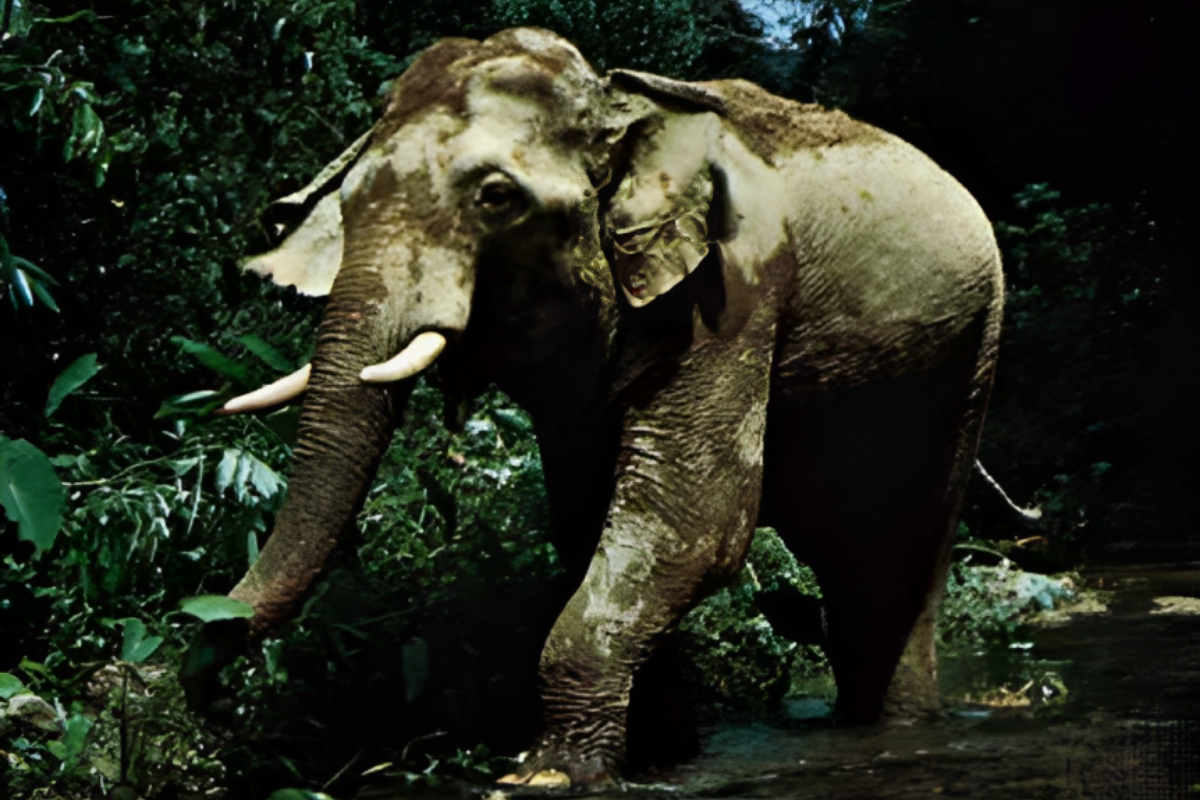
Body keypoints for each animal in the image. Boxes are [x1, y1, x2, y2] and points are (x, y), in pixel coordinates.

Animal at [190, 27, 1003, 785]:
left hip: (973, 354)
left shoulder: (736, 288)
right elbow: (592, 519)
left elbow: (694, 524)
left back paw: (895, 734)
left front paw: (546, 774)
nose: (198, 650)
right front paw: (658, 758)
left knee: (896, 553)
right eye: (347, 202)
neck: (620, 107)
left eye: (496, 198)